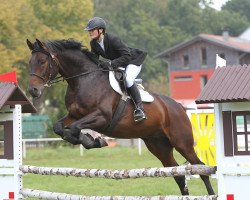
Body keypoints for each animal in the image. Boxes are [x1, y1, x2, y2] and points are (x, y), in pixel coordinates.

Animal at [26, 38, 215, 195]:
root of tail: (179, 107)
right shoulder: (74, 115)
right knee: (178, 174)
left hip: (182, 143)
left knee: (201, 168)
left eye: (42, 61)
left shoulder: (102, 118)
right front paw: (91, 140)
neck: (83, 80)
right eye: (30, 62)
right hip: (158, 145)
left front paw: (93, 141)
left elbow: (74, 128)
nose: (33, 91)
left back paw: (211, 194)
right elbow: (60, 128)